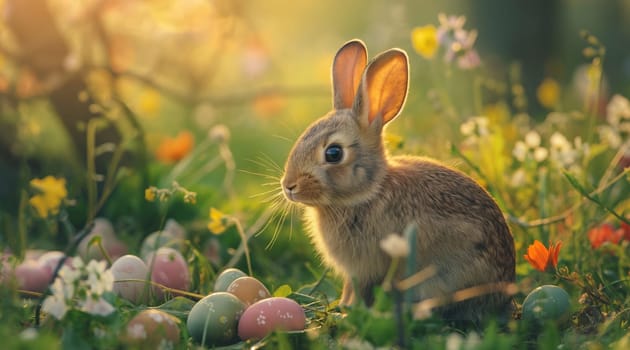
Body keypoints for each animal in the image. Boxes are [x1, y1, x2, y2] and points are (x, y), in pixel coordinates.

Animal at [282, 39, 520, 322]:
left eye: (334, 153)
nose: (289, 186)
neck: (369, 192)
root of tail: (504, 294)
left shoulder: (367, 268)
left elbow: (361, 291)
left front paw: (348, 313)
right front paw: (343, 307)